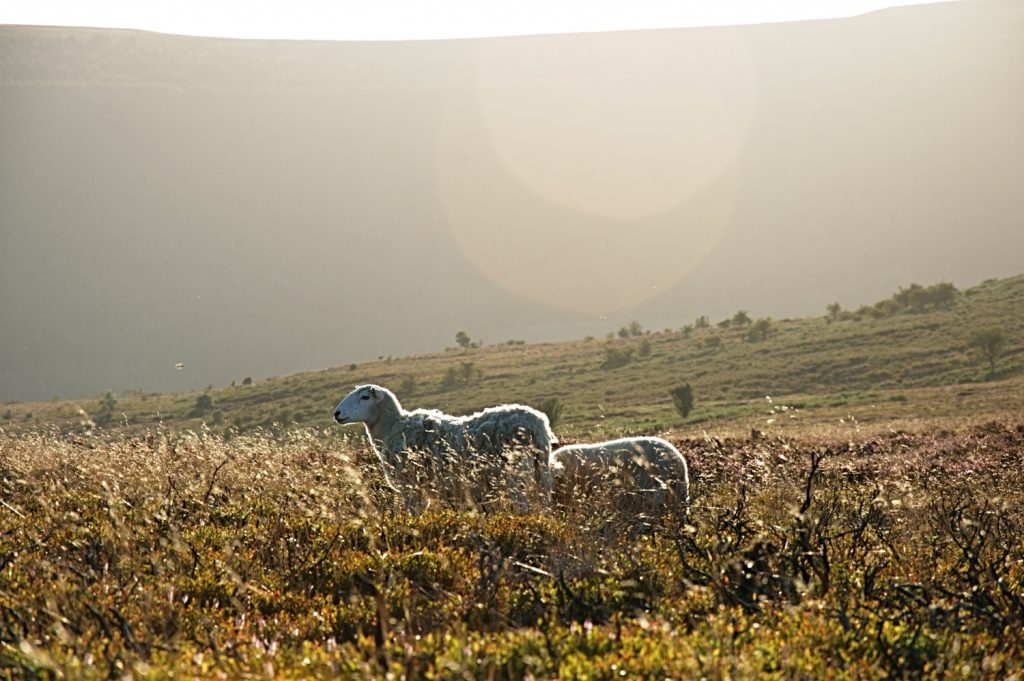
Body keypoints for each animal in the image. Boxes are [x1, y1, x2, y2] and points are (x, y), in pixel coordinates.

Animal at [331, 382, 557, 509]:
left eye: (365, 397)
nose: (337, 413)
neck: (393, 428)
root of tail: (537, 423)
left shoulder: (410, 487)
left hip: (516, 475)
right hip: (540, 472)